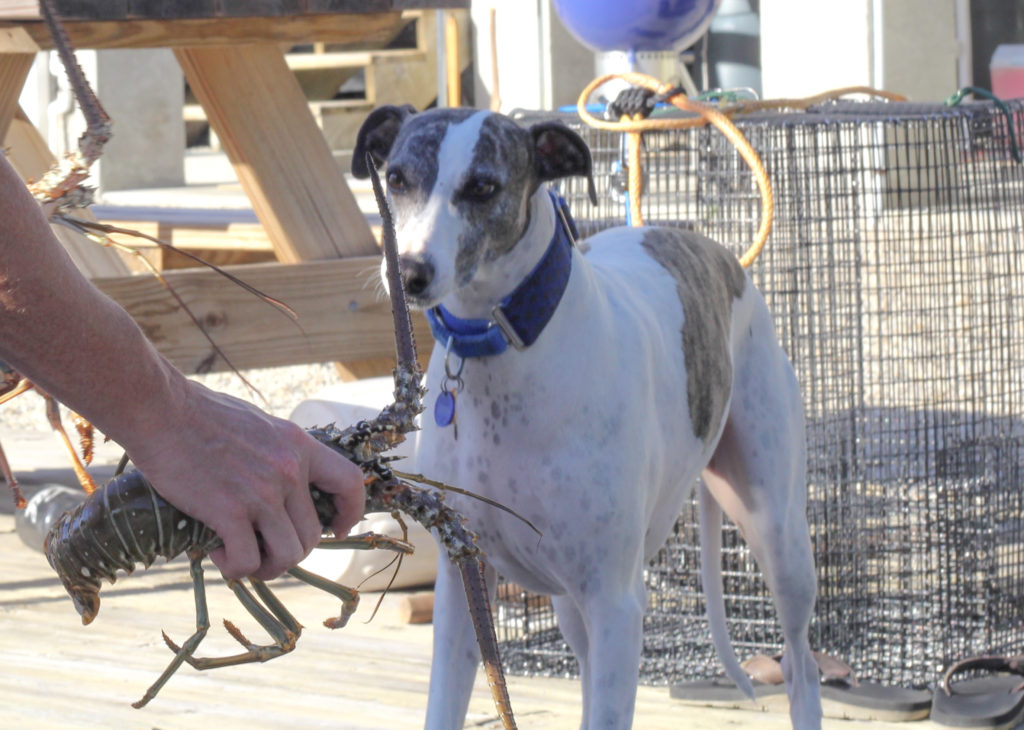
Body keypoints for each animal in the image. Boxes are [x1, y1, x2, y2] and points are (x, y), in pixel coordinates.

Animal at [352, 103, 823, 728]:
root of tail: (718, 252)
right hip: (568, 603)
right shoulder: (462, 582)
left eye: (483, 187)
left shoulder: (616, 603)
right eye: (398, 178)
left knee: (801, 664)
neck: (500, 356)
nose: (408, 273)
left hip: (778, 534)